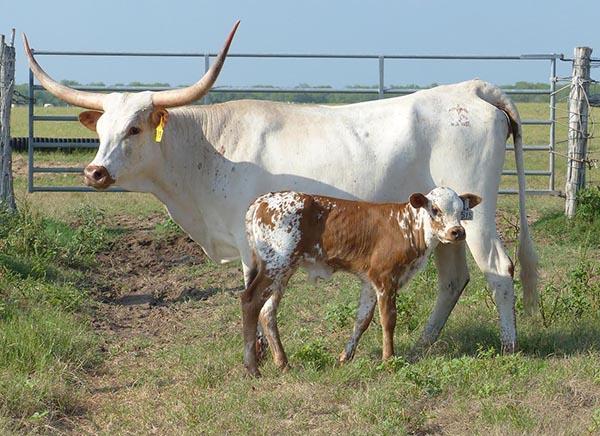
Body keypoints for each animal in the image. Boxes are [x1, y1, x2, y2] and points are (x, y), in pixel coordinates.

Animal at [241, 186, 480, 374]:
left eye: (461, 210)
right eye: (435, 210)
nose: (457, 232)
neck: (408, 227)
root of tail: (263, 200)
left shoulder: (369, 280)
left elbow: (362, 320)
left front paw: (345, 357)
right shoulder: (385, 277)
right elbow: (388, 319)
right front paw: (389, 360)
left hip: (281, 270)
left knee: (267, 311)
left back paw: (283, 363)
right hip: (277, 264)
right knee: (250, 300)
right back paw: (252, 368)